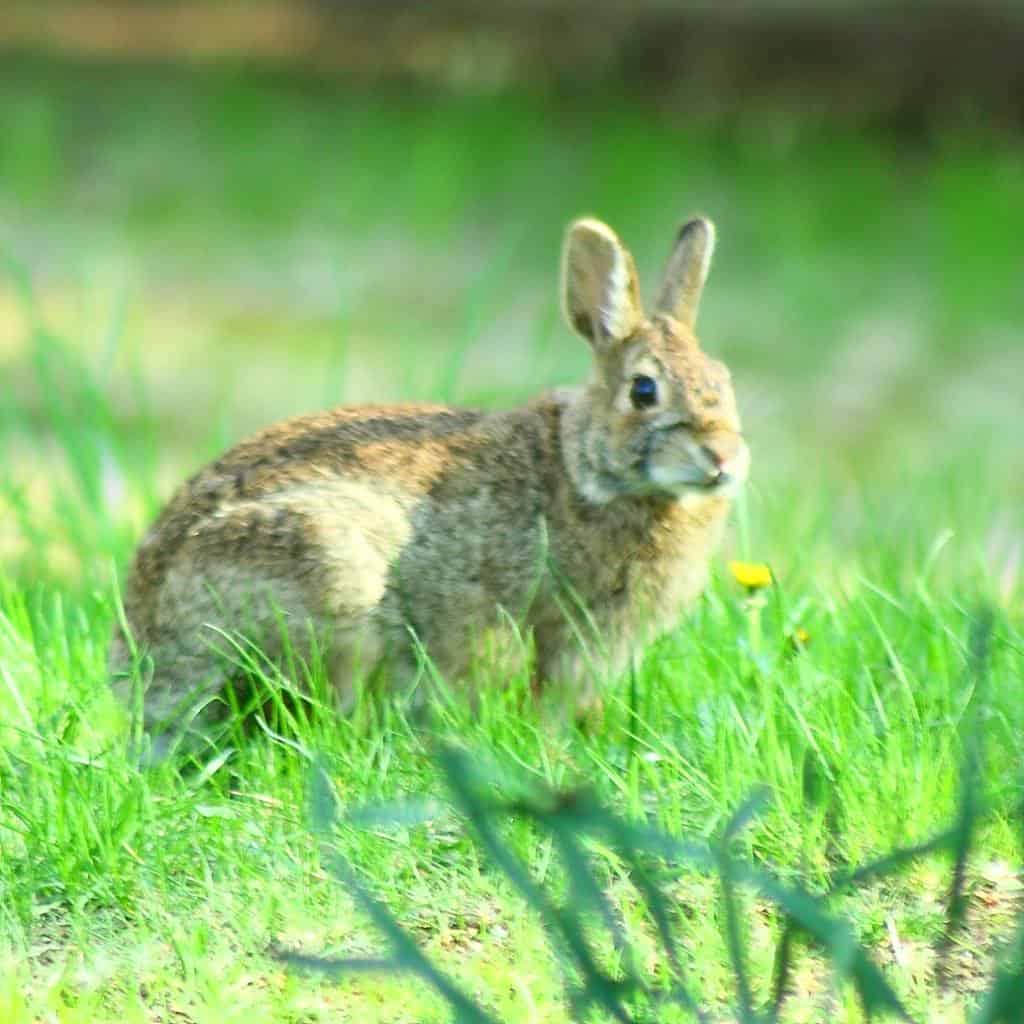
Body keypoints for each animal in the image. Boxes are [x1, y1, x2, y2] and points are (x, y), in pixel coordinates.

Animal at [109, 215, 749, 751]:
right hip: (332, 578)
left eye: (724, 380)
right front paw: (556, 751)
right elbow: (552, 697)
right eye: (644, 391)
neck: (585, 466)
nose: (724, 458)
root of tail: (145, 668)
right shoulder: (571, 629)